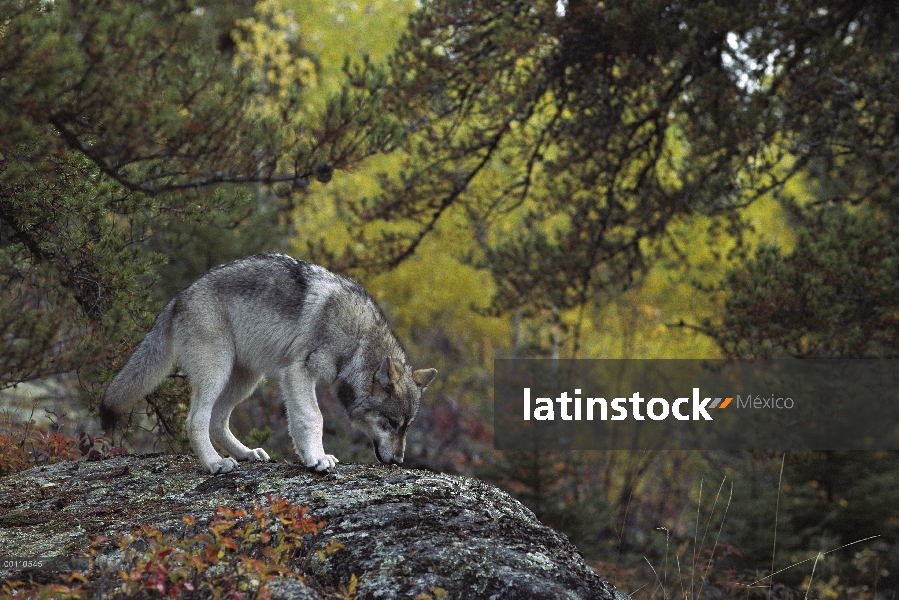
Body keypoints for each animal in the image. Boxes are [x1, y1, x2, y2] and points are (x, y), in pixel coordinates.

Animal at [100, 253, 438, 474]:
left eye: (406, 426)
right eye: (391, 423)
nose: (399, 462)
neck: (357, 341)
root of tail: (177, 298)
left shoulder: (291, 378)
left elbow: (298, 422)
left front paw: (308, 457)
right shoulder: (298, 373)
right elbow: (313, 418)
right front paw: (319, 459)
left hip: (247, 379)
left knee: (218, 421)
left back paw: (247, 454)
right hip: (218, 373)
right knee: (195, 420)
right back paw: (214, 464)